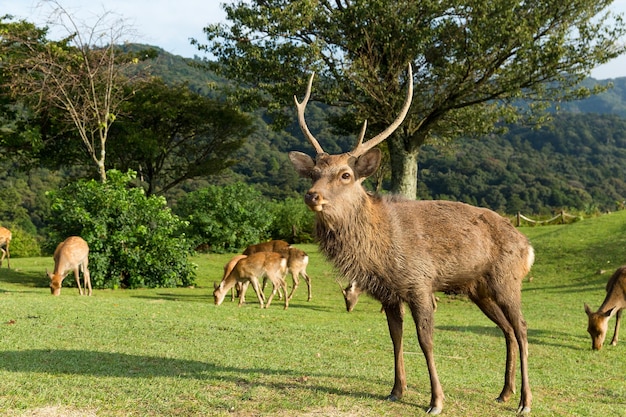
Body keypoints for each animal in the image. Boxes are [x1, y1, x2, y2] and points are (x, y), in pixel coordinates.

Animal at [288, 63, 532, 414]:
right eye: (313, 173)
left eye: (346, 174)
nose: (312, 196)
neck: (379, 252)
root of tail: (528, 246)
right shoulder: (388, 293)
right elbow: (395, 337)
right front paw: (396, 390)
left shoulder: (420, 283)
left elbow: (425, 340)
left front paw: (436, 400)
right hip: (479, 288)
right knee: (508, 330)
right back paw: (504, 393)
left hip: (507, 279)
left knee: (522, 329)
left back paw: (525, 401)